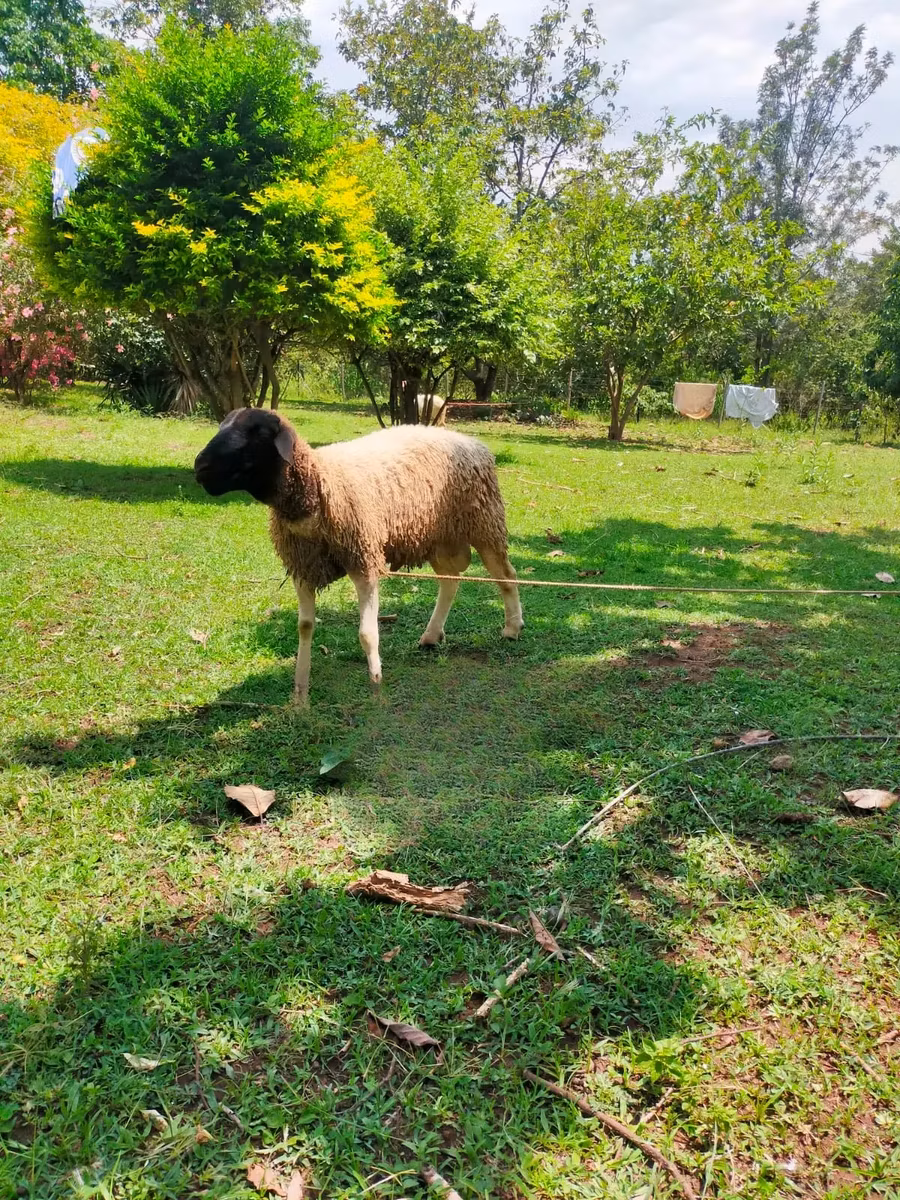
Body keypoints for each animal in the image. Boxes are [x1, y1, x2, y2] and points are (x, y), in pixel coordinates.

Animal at [193, 408, 524, 706]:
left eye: (257, 432)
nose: (200, 467)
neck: (318, 484)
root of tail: (472, 441)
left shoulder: (364, 560)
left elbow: (367, 633)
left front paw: (376, 683)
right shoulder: (304, 568)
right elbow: (305, 627)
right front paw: (300, 695)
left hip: (485, 523)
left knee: (506, 576)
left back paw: (512, 628)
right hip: (438, 537)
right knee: (450, 580)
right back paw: (431, 635)